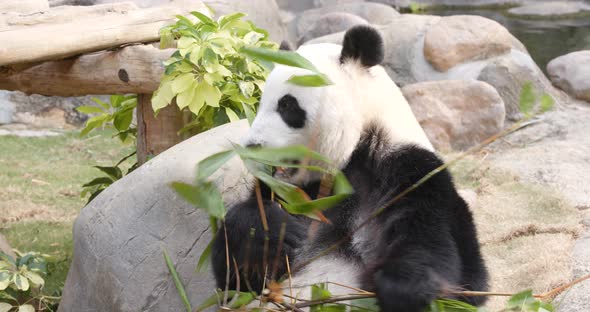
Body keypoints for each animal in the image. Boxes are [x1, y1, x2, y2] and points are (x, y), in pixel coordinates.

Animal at [213, 25, 490, 310]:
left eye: (286, 105)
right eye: (260, 103)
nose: (252, 146)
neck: (349, 159)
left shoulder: (410, 170)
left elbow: (457, 268)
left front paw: (402, 287)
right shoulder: (287, 192)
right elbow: (235, 280)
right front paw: (272, 229)